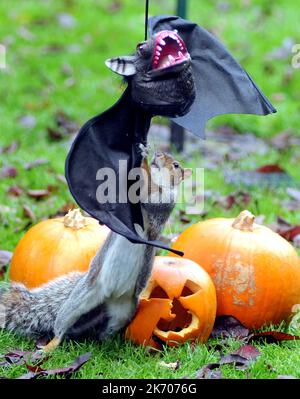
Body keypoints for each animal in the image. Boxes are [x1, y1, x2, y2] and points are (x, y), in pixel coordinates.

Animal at [0, 148, 191, 354]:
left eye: (176, 165)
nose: (158, 155)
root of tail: (109, 295)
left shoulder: (163, 205)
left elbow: (152, 200)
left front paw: (145, 165)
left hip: (122, 312)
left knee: (105, 329)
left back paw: (104, 344)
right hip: (80, 300)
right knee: (61, 327)